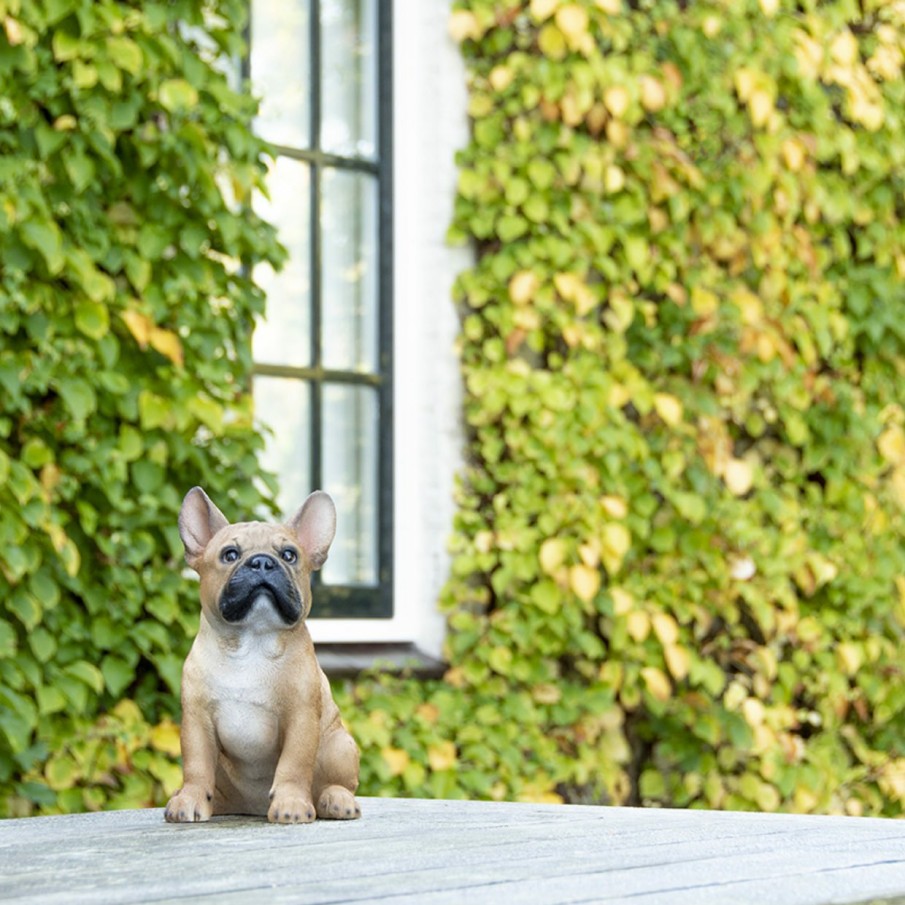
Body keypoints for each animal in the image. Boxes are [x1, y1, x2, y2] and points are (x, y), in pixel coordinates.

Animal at [164, 490, 362, 824]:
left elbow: (294, 765)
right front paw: (190, 798)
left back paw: (335, 799)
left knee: (340, 782)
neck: (252, 643)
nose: (262, 562)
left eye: (289, 555)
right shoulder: (197, 722)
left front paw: (292, 803)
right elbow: (196, 766)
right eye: (230, 555)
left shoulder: (300, 719)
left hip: (339, 746)